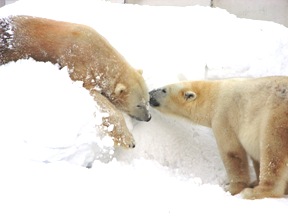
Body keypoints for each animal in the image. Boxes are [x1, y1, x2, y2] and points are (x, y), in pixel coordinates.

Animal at [0, 15, 152, 148]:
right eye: (138, 105)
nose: (149, 117)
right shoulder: (77, 65)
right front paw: (128, 140)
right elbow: (99, 99)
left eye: (147, 100)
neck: (94, 51)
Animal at [150, 76, 288, 199]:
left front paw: (232, 188)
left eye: (163, 90)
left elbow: (232, 152)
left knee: (273, 150)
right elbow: (254, 157)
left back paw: (255, 192)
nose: (150, 93)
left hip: (277, 117)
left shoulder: (223, 116)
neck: (215, 96)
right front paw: (253, 181)